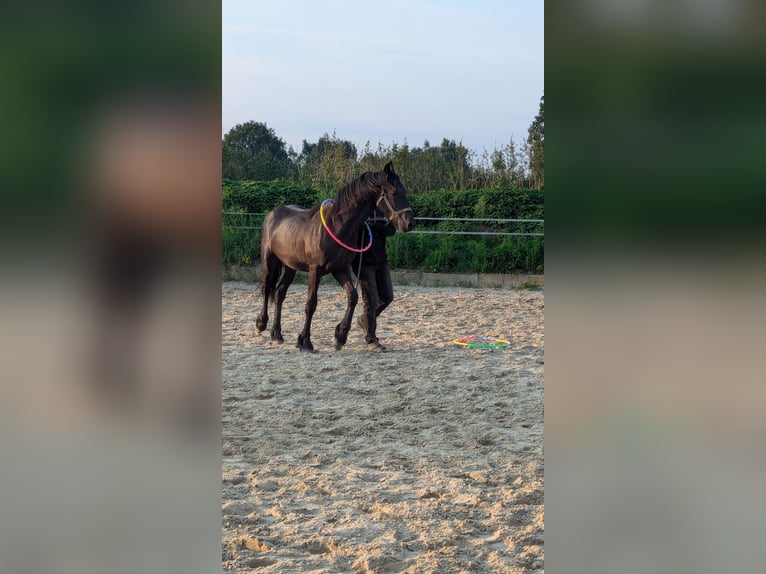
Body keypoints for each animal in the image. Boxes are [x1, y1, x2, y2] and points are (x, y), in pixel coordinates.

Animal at [256, 161, 414, 352]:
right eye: (394, 192)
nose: (409, 223)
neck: (337, 225)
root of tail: (272, 214)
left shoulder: (340, 269)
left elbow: (353, 297)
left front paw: (340, 335)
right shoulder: (315, 270)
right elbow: (311, 303)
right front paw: (305, 341)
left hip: (290, 266)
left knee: (279, 293)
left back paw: (277, 334)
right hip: (269, 261)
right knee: (267, 289)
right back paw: (261, 324)